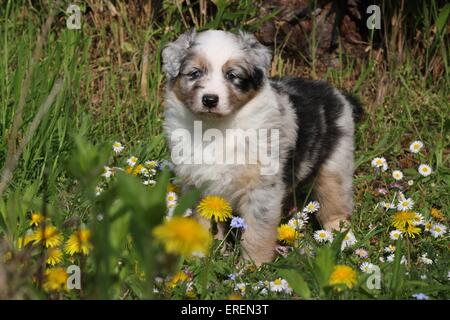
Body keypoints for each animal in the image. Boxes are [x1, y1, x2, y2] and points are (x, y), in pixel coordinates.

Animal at [162, 30, 362, 264]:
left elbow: (257, 232)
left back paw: (344, 240)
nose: (210, 100)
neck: (216, 127)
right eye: (195, 73)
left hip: (335, 164)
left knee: (336, 207)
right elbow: (203, 222)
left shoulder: (262, 189)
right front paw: (200, 258)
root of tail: (335, 93)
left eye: (232, 75)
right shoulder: (197, 185)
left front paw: (252, 265)